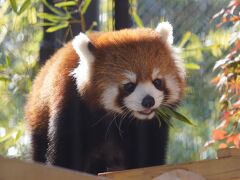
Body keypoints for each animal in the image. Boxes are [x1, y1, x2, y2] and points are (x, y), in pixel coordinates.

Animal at [25, 21, 185, 174]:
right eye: (129, 86)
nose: (148, 101)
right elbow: (66, 151)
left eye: (157, 82)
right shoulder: (72, 107)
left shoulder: (150, 126)